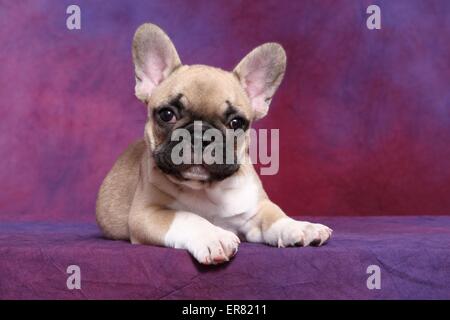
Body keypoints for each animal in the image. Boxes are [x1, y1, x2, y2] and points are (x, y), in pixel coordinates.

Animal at [97, 22, 330, 264]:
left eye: (236, 122)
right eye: (167, 114)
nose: (201, 136)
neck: (206, 189)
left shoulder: (255, 209)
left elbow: (274, 214)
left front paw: (300, 226)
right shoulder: (146, 214)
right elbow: (186, 216)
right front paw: (213, 236)